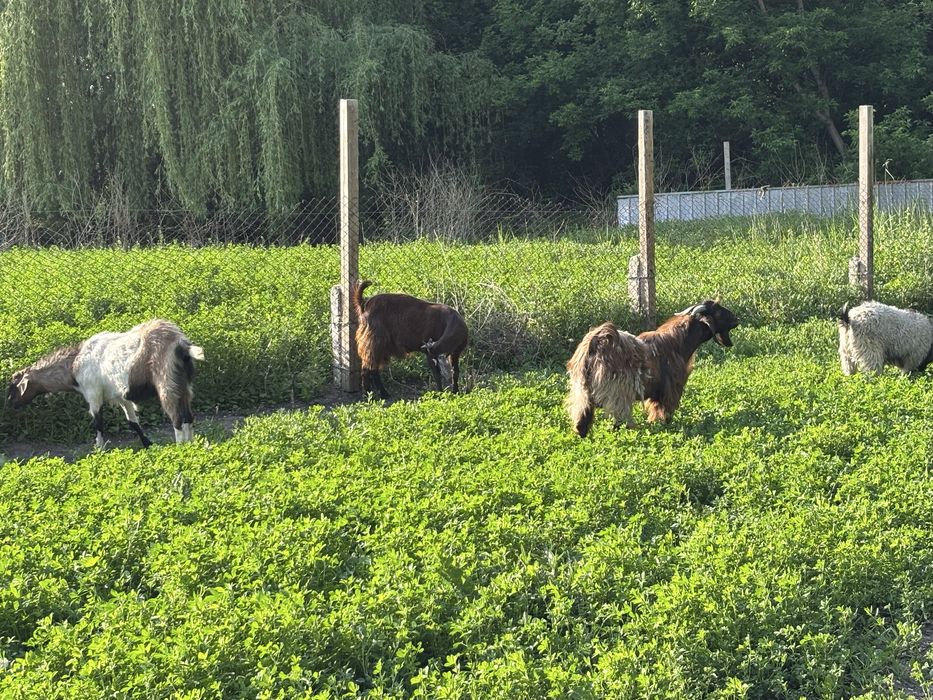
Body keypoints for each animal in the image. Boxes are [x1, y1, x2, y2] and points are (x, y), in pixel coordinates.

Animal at [7, 319, 205, 448]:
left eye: (13, 387)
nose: (10, 405)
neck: (74, 365)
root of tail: (181, 344)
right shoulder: (120, 396)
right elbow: (133, 422)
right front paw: (148, 444)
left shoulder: (93, 394)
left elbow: (98, 422)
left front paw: (99, 449)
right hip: (184, 386)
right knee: (188, 416)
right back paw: (191, 446)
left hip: (167, 383)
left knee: (177, 418)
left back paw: (179, 448)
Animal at [567, 300, 739, 436]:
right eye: (717, 311)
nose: (736, 320)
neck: (678, 342)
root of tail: (594, 345)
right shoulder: (669, 391)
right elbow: (663, 413)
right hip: (618, 393)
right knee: (619, 420)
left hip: (582, 392)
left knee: (583, 415)